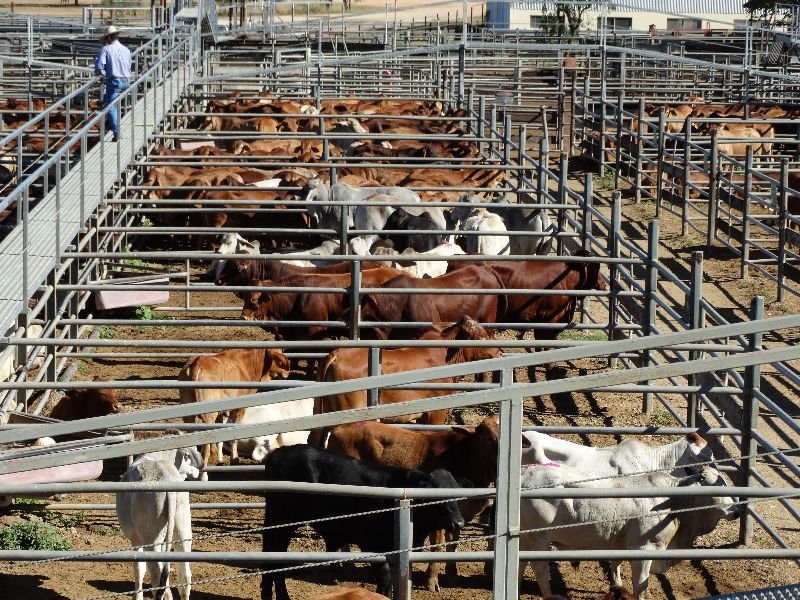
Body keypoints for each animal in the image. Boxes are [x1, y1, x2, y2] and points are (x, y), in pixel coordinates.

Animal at [116, 446, 204, 600]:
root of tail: (167, 478)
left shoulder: (136, 541)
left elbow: (139, 569)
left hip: (152, 539)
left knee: (158, 577)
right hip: (183, 530)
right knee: (184, 576)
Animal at [260, 444, 465, 600]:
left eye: (457, 496)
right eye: (437, 498)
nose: (459, 523)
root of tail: (277, 453)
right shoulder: (372, 546)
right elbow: (385, 579)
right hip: (281, 524)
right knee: (274, 561)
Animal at [327, 417, 510, 591]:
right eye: (488, 437)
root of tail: (339, 428)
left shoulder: (458, 516)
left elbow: (453, 544)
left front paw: (453, 576)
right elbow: (437, 546)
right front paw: (432, 581)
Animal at [518, 463, 739, 599]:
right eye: (716, 486)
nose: (736, 511)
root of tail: (525, 473)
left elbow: (616, 566)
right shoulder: (644, 549)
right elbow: (641, 585)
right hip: (538, 539)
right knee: (539, 569)